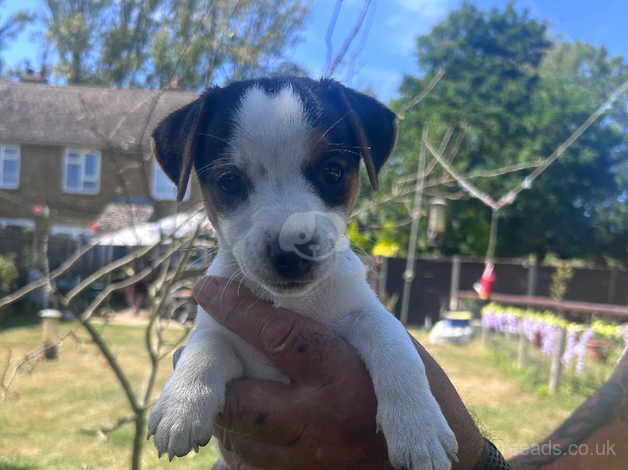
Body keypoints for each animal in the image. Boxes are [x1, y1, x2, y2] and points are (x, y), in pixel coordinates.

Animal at [150, 77, 458, 470]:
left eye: (332, 171)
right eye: (229, 181)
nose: (290, 250)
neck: (292, 302)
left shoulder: (364, 312)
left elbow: (396, 346)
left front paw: (419, 429)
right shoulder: (221, 328)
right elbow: (205, 346)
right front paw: (180, 405)